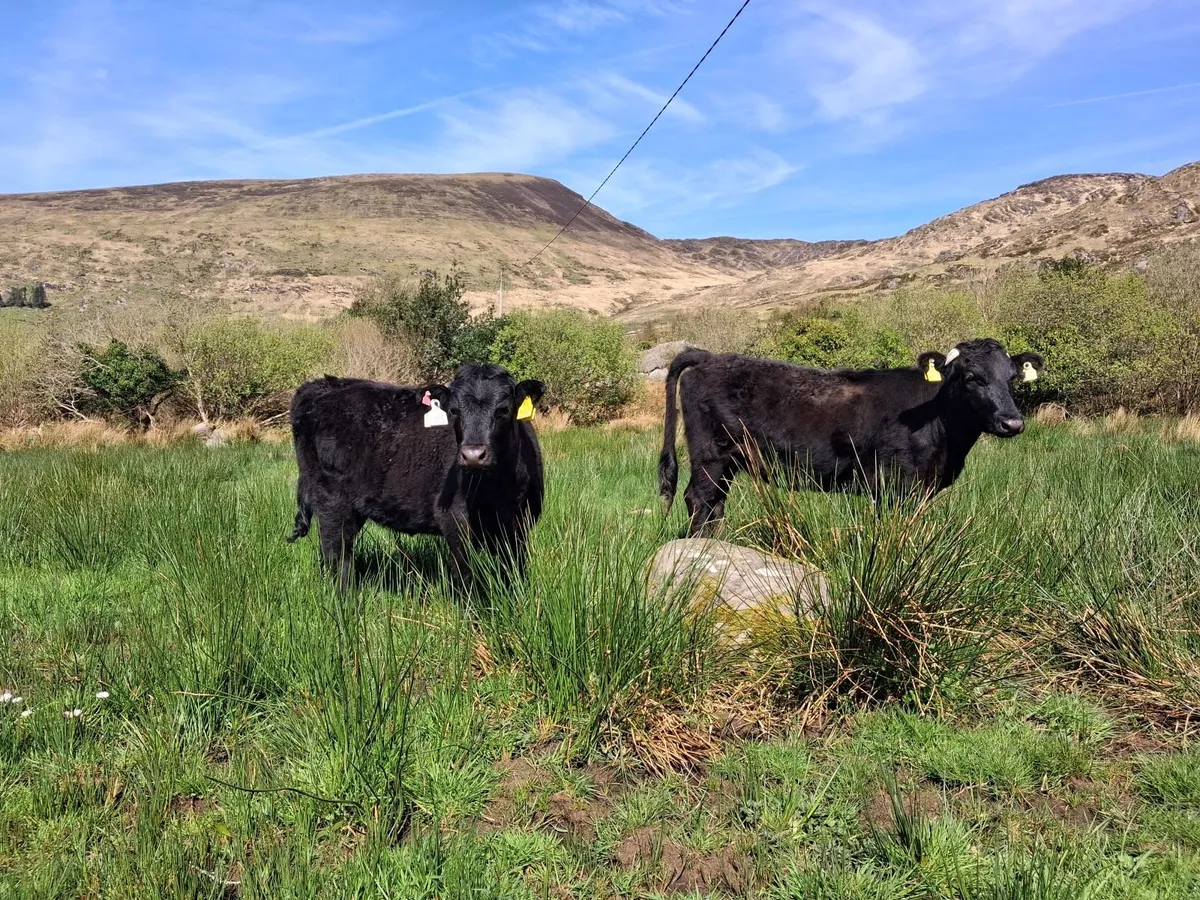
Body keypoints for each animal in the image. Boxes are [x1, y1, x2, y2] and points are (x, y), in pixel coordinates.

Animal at [288, 364, 546, 591]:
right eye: (454, 411)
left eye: (503, 410)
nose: (473, 455)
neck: (494, 490)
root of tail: (324, 386)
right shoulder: (454, 519)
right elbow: (465, 573)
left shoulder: (520, 523)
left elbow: (514, 571)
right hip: (332, 502)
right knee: (337, 556)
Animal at [658, 338, 1044, 535]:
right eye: (971, 377)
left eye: (1010, 378)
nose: (1012, 423)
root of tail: (708, 356)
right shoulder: (897, 485)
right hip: (711, 454)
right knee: (699, 500)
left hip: (729, 461)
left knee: (715, 504)